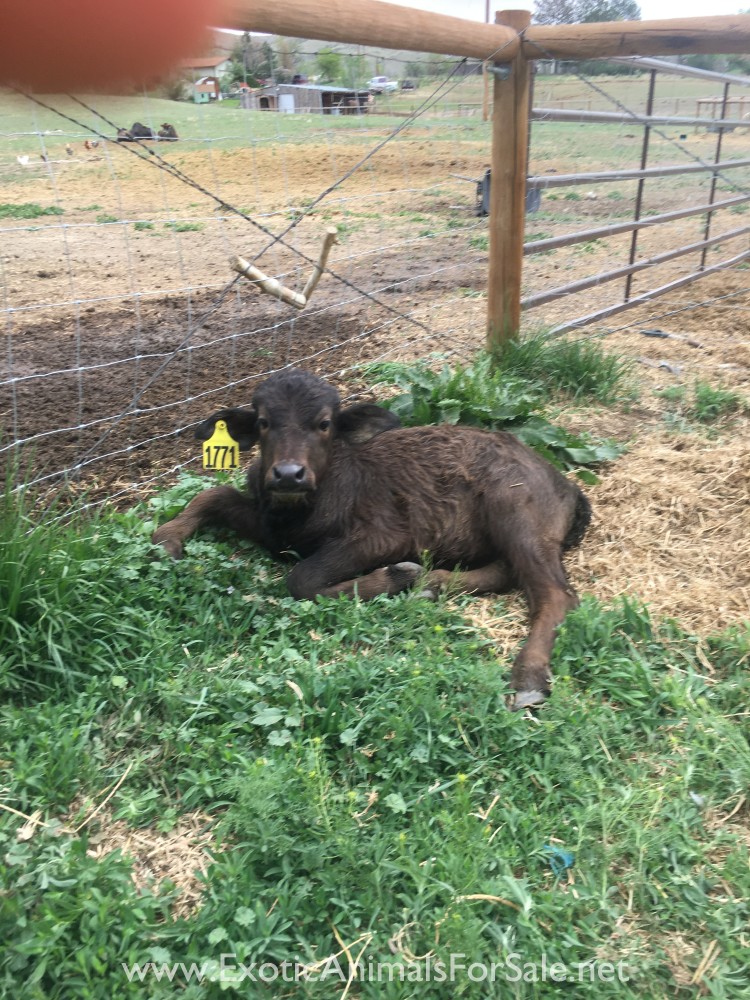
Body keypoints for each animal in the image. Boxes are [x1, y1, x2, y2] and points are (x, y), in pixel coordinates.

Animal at [152, 368, 591, 708]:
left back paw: (527, 679)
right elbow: (213, 495)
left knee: (555, 594)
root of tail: (565, 484)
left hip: (516, 513)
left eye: (324, 423)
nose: (289, 474)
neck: (304, 508)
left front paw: (392, 577)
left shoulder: (384, 537)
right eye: (263, 422)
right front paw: (166, 538)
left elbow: (302, 579)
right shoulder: (267, 522)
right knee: (504, 571)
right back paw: (430, 583)